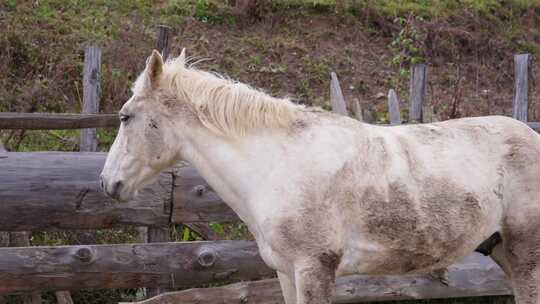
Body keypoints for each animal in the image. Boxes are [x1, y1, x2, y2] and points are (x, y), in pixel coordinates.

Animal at [100, 50, 540, 304]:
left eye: (125, 117)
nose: (108, 184)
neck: (278, 166)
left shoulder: (315, 269)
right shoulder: (286, 273)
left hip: (526, 256)